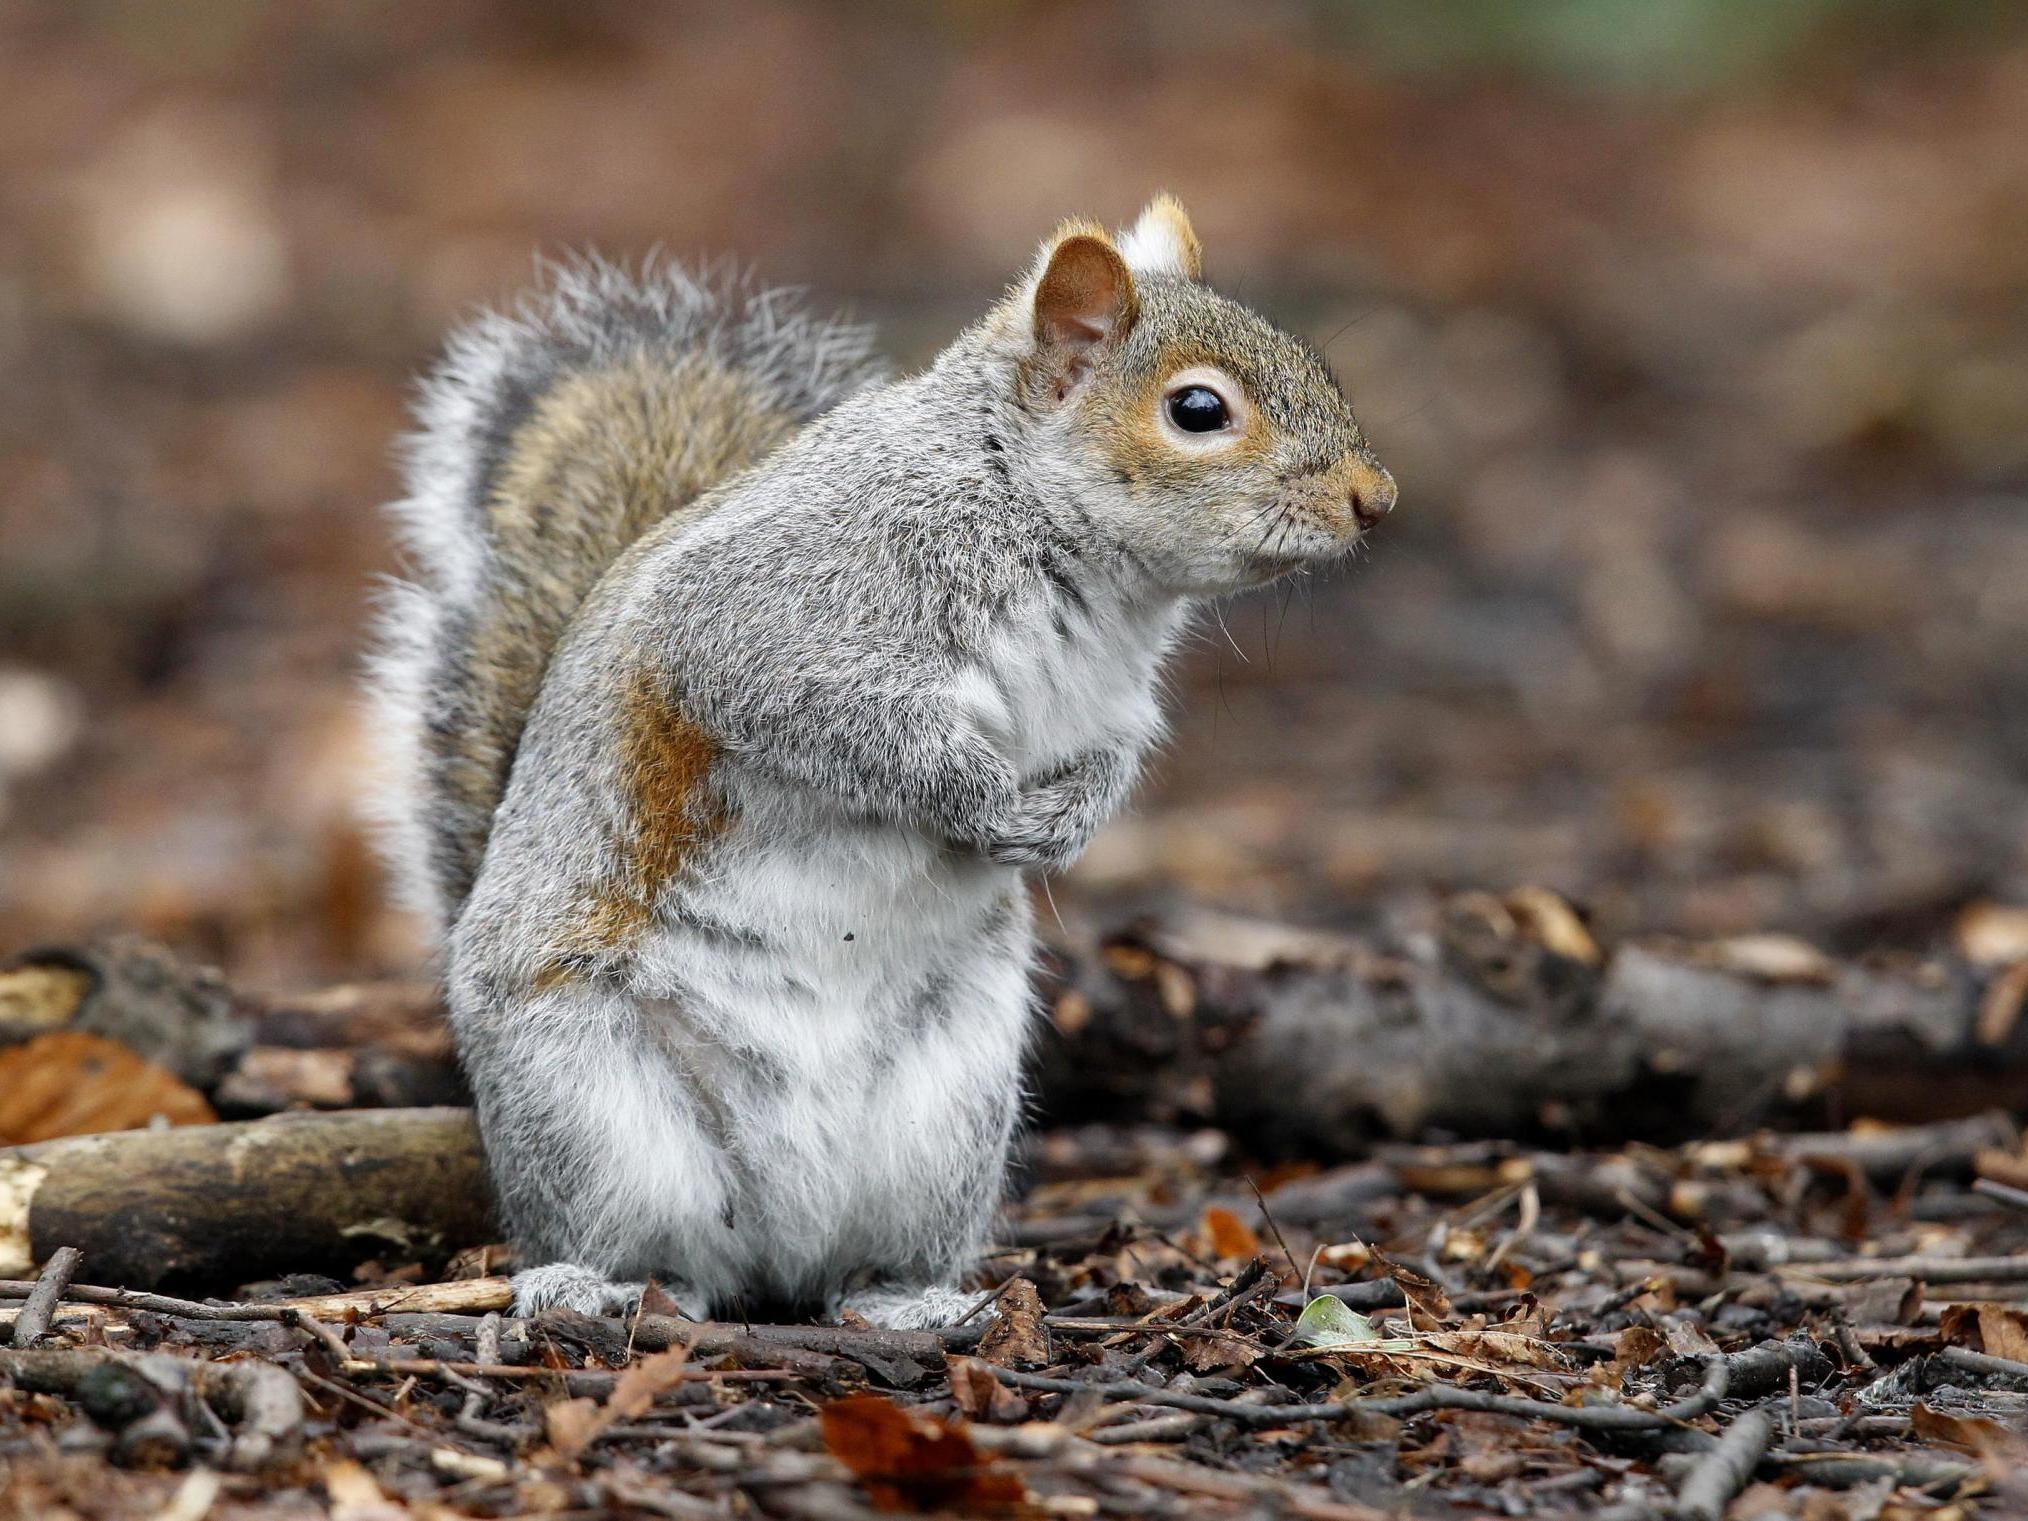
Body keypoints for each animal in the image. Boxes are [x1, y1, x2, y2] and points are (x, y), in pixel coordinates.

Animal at [369, 196, 1395, 1330]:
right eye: (1199, 409)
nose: (1376, 497)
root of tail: (779, 1236)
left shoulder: (1112, 705)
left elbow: (1110, 763)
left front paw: (1066, 824)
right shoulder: (777, 616)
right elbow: (843, 722)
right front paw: (977, 799)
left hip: (948, 1113)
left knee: (849, 1269)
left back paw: (907, 1303)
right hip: (592, 1103)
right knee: (647, 1247)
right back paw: (592, 1286)